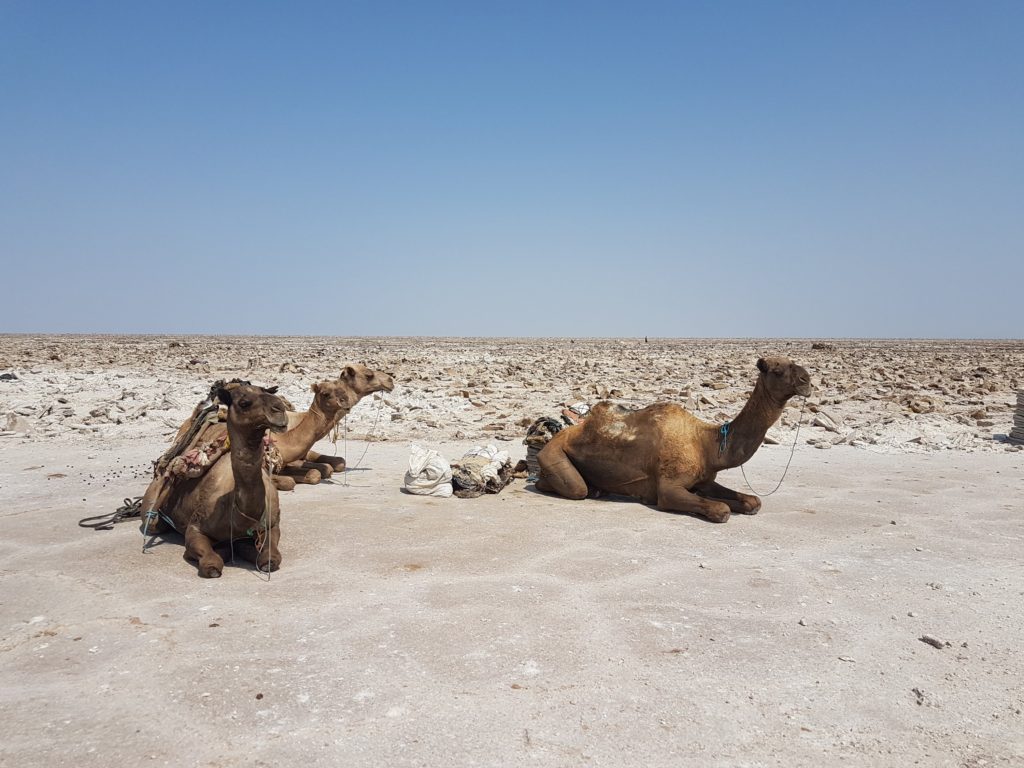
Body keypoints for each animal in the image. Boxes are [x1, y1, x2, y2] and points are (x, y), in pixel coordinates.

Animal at [144, 382, 290, 581]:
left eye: (265, 391)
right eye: (244, 403)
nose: (279, 409)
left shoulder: (272, 525)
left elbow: (271, 558)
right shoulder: (195, 527)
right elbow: (211, 565)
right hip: (153, 505)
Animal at [540, 360, 811, 528]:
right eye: (776, 370)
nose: (807, 380)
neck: (706, 444)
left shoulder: (705, 479)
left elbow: (752, 501)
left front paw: (742, 503)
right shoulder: (669, 489)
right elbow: (721, 510)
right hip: (552, 454)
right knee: (576, 489)